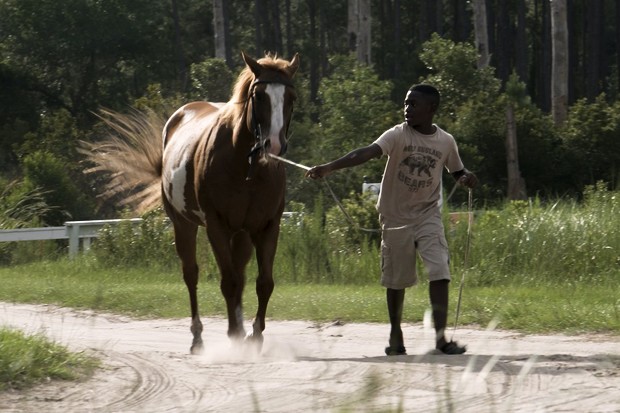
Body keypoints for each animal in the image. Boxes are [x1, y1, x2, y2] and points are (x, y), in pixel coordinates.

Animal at [84, 52, 300, 354]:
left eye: (291, 97)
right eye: (259, 96)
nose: (275, 146)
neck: (246, 167)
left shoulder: (267, 227)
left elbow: (263, 283)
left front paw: (254, 336)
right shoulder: (216, 227)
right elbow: (228, 281)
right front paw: (235, 335)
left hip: (242, 234)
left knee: (241, 275)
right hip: (184, 225)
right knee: (192, 275)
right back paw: (198, 338)